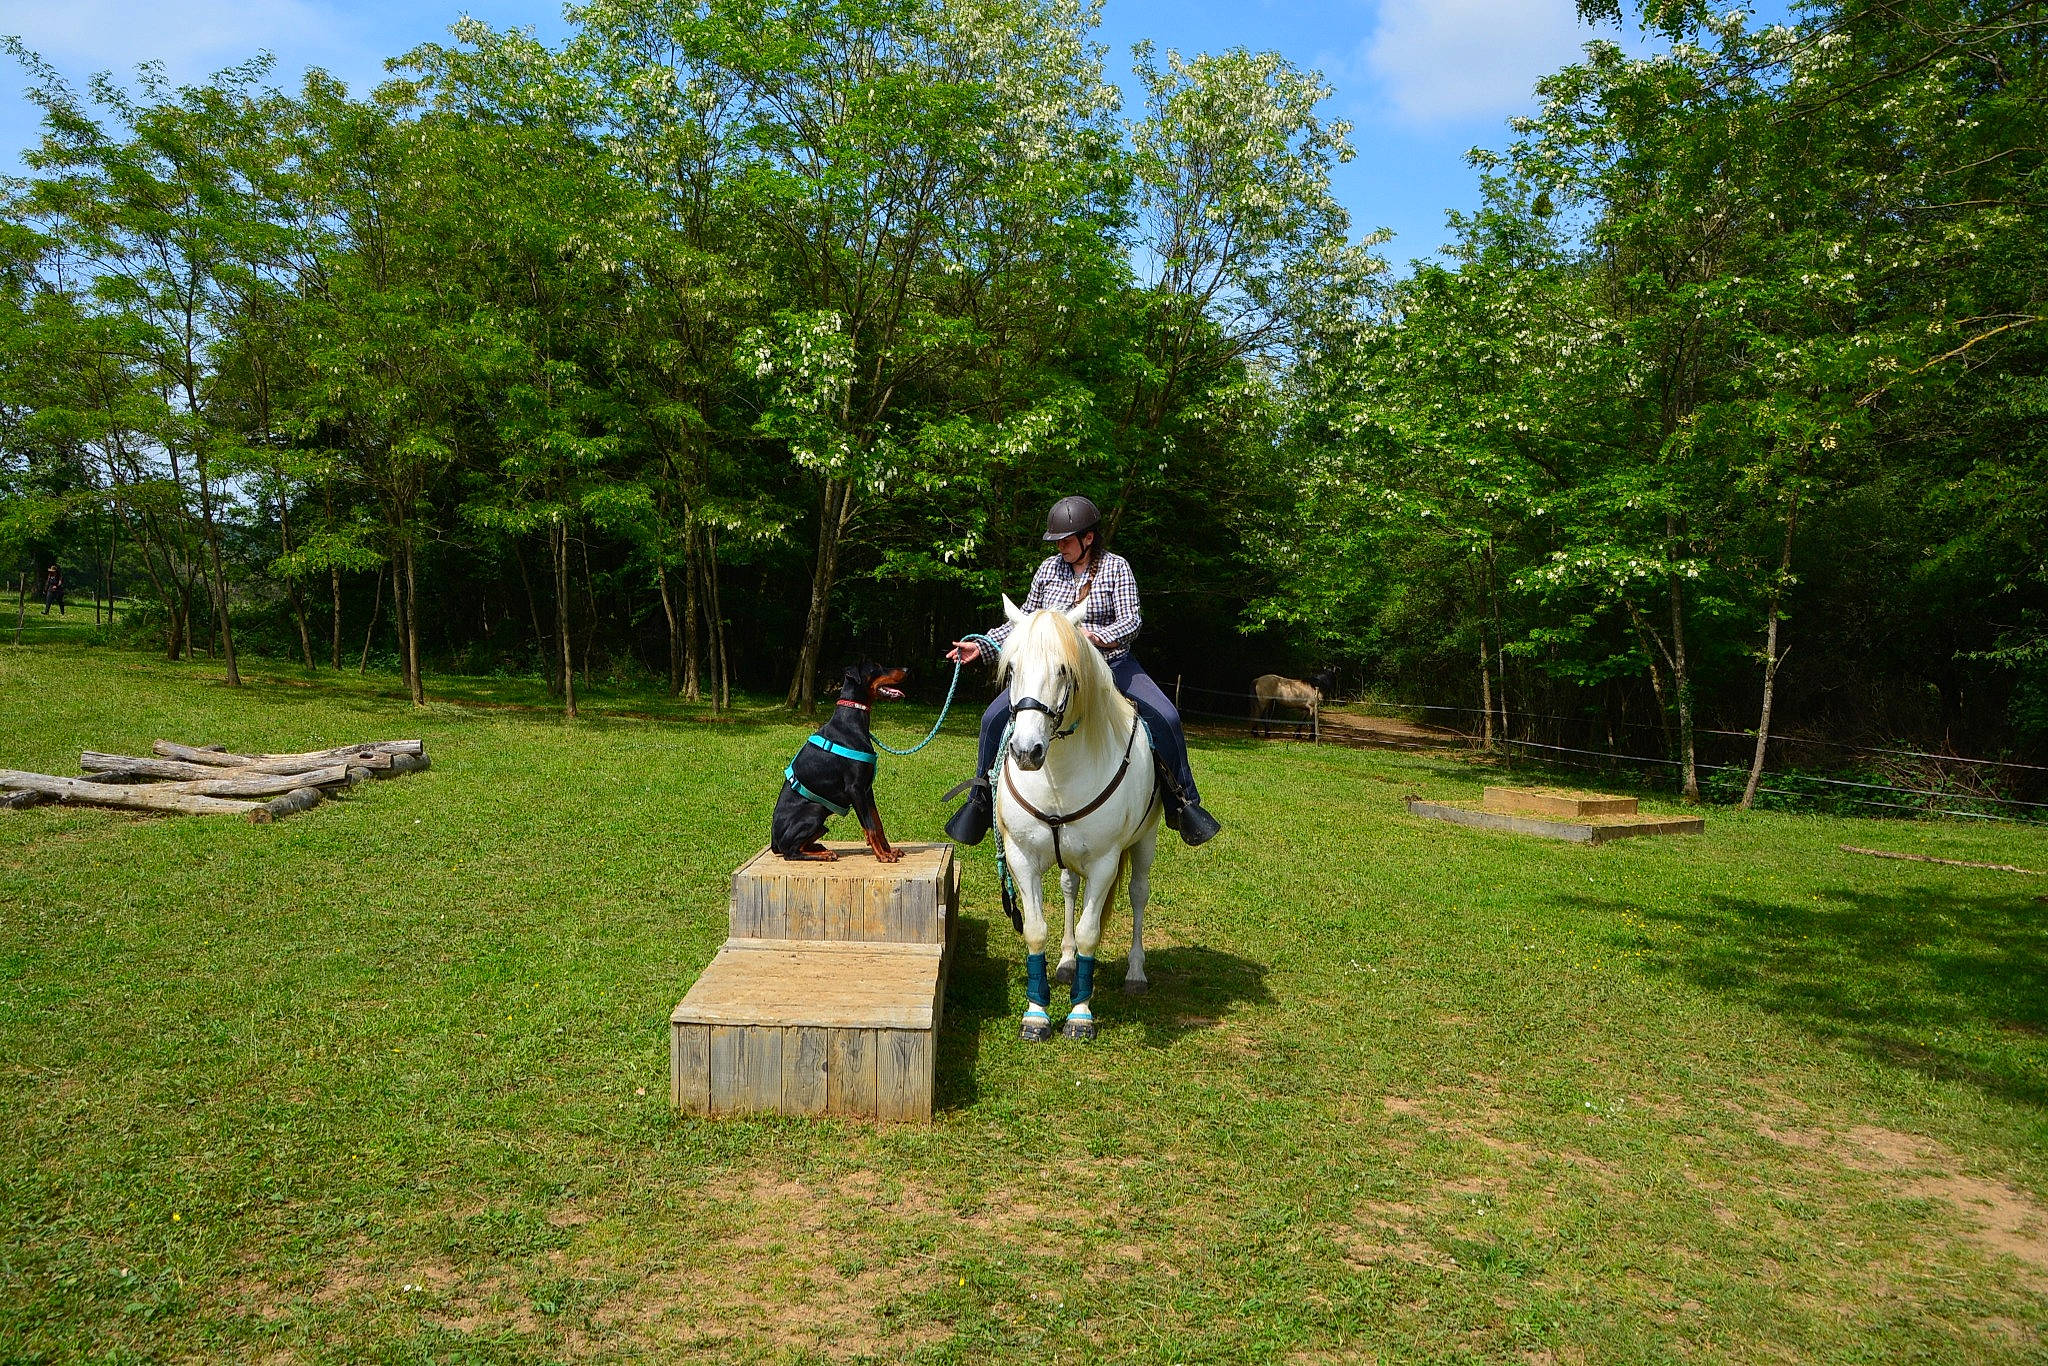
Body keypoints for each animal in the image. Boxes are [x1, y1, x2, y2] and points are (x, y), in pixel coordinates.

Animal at [993, 594, 1161, 1042]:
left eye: (1064, 670)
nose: (1026, 751)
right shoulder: (1021, 858)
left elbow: (1090, 933)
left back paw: (1135, 973)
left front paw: (1080, 1016)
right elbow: (1036, 930)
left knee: (1138, 894)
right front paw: (1036, 1014)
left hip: (1146, 840)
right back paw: (1067, 964)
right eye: (1011, 668)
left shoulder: (1105, 862)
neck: (1058, 774)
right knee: (1070, 889)